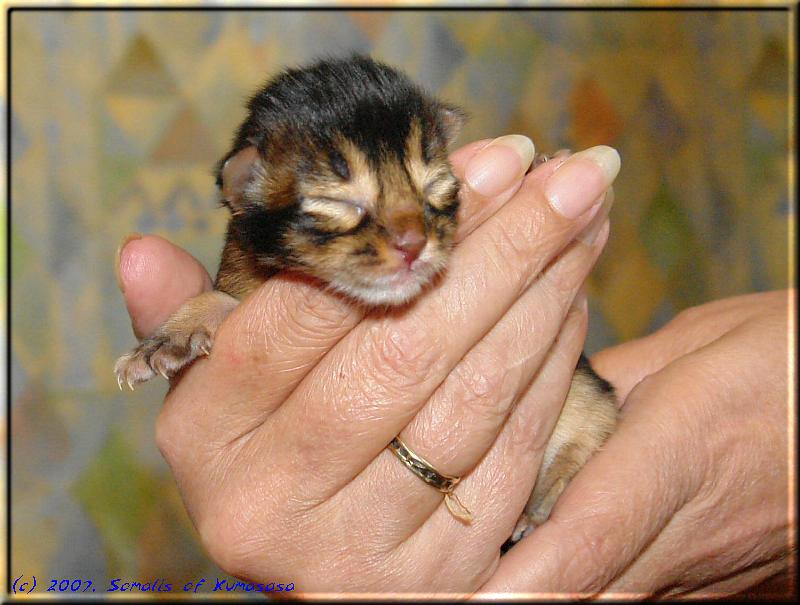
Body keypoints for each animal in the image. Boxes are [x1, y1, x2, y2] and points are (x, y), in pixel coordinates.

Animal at [114, 56, 620, 544]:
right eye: (339, 203)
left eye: (435, 185)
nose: (413, 243)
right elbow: (219, 299)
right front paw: (167, 338)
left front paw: (539, 165)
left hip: (587, 391)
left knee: (595, 425)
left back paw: (538, 503)